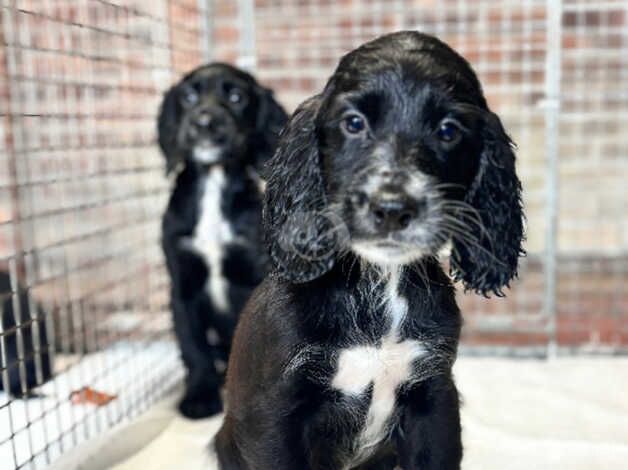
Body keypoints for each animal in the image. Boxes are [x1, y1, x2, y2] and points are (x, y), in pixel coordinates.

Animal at [157, 63, 288, 418]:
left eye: (236, 97)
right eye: (188, 97)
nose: (204, 121)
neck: (213, 185)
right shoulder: (182, 286)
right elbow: (193, 347)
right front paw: (200, 396)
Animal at [216, 31, 524, 468]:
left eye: (448, 130)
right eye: (354, 123)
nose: (393, 208)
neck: (379, 286)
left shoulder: (435, 399)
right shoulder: (274, 415)